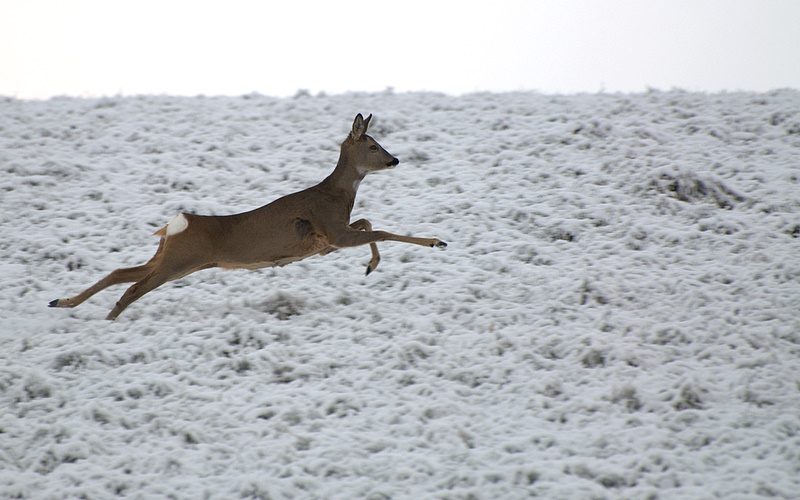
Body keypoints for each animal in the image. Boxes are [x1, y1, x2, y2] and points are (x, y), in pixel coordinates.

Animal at [50, 114, 446, 320]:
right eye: (374, 146)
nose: (395, 160)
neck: (336, 195)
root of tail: (177, 223)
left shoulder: (330, 239)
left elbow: (368, 222)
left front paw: (370, 266)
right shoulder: (333, 233)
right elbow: (380, 229)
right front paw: (435, 241)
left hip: (171, 256)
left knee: (121, 273)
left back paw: (62, 302)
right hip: (179, 261)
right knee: (132, 287)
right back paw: (106, 321)